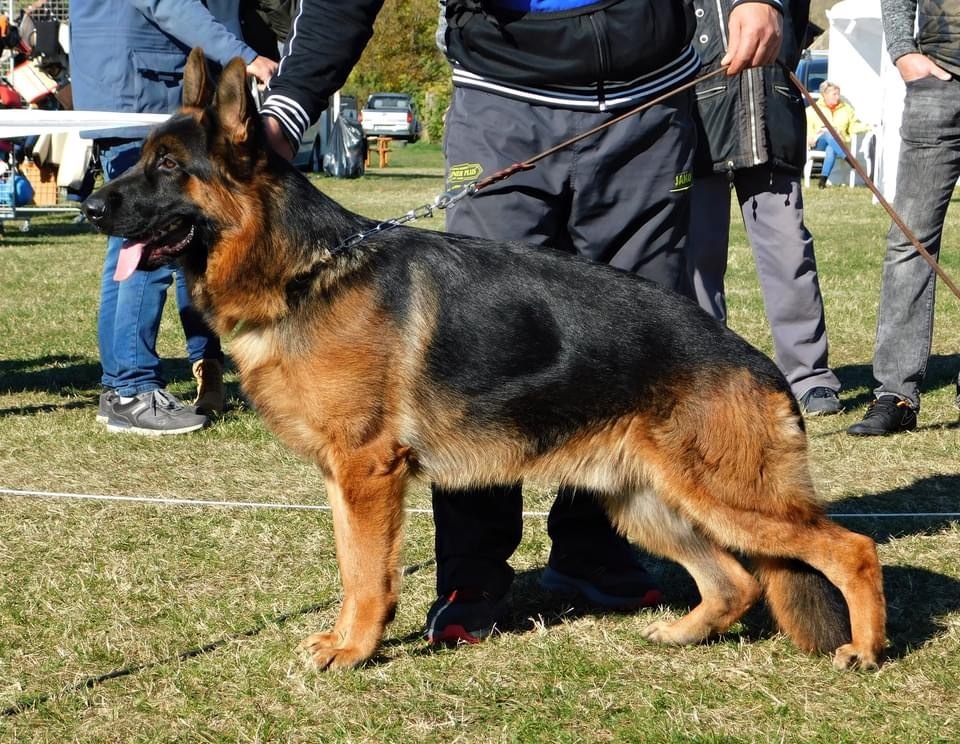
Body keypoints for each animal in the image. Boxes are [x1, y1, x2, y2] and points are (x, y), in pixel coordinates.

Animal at [83, 49, 886, 672]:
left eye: (166, 166)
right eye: (140, 160)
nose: (90, 206)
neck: (304, 271)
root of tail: (759, 363)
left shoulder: (369, 473)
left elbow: (367, 575)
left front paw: (356, 650)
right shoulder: (345, 479)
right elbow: (350, 568)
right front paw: (346, 641)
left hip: (727, 498)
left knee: (850, 549)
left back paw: (866, 649)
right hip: (648, 502)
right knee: (734, 584)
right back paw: (683, 633)